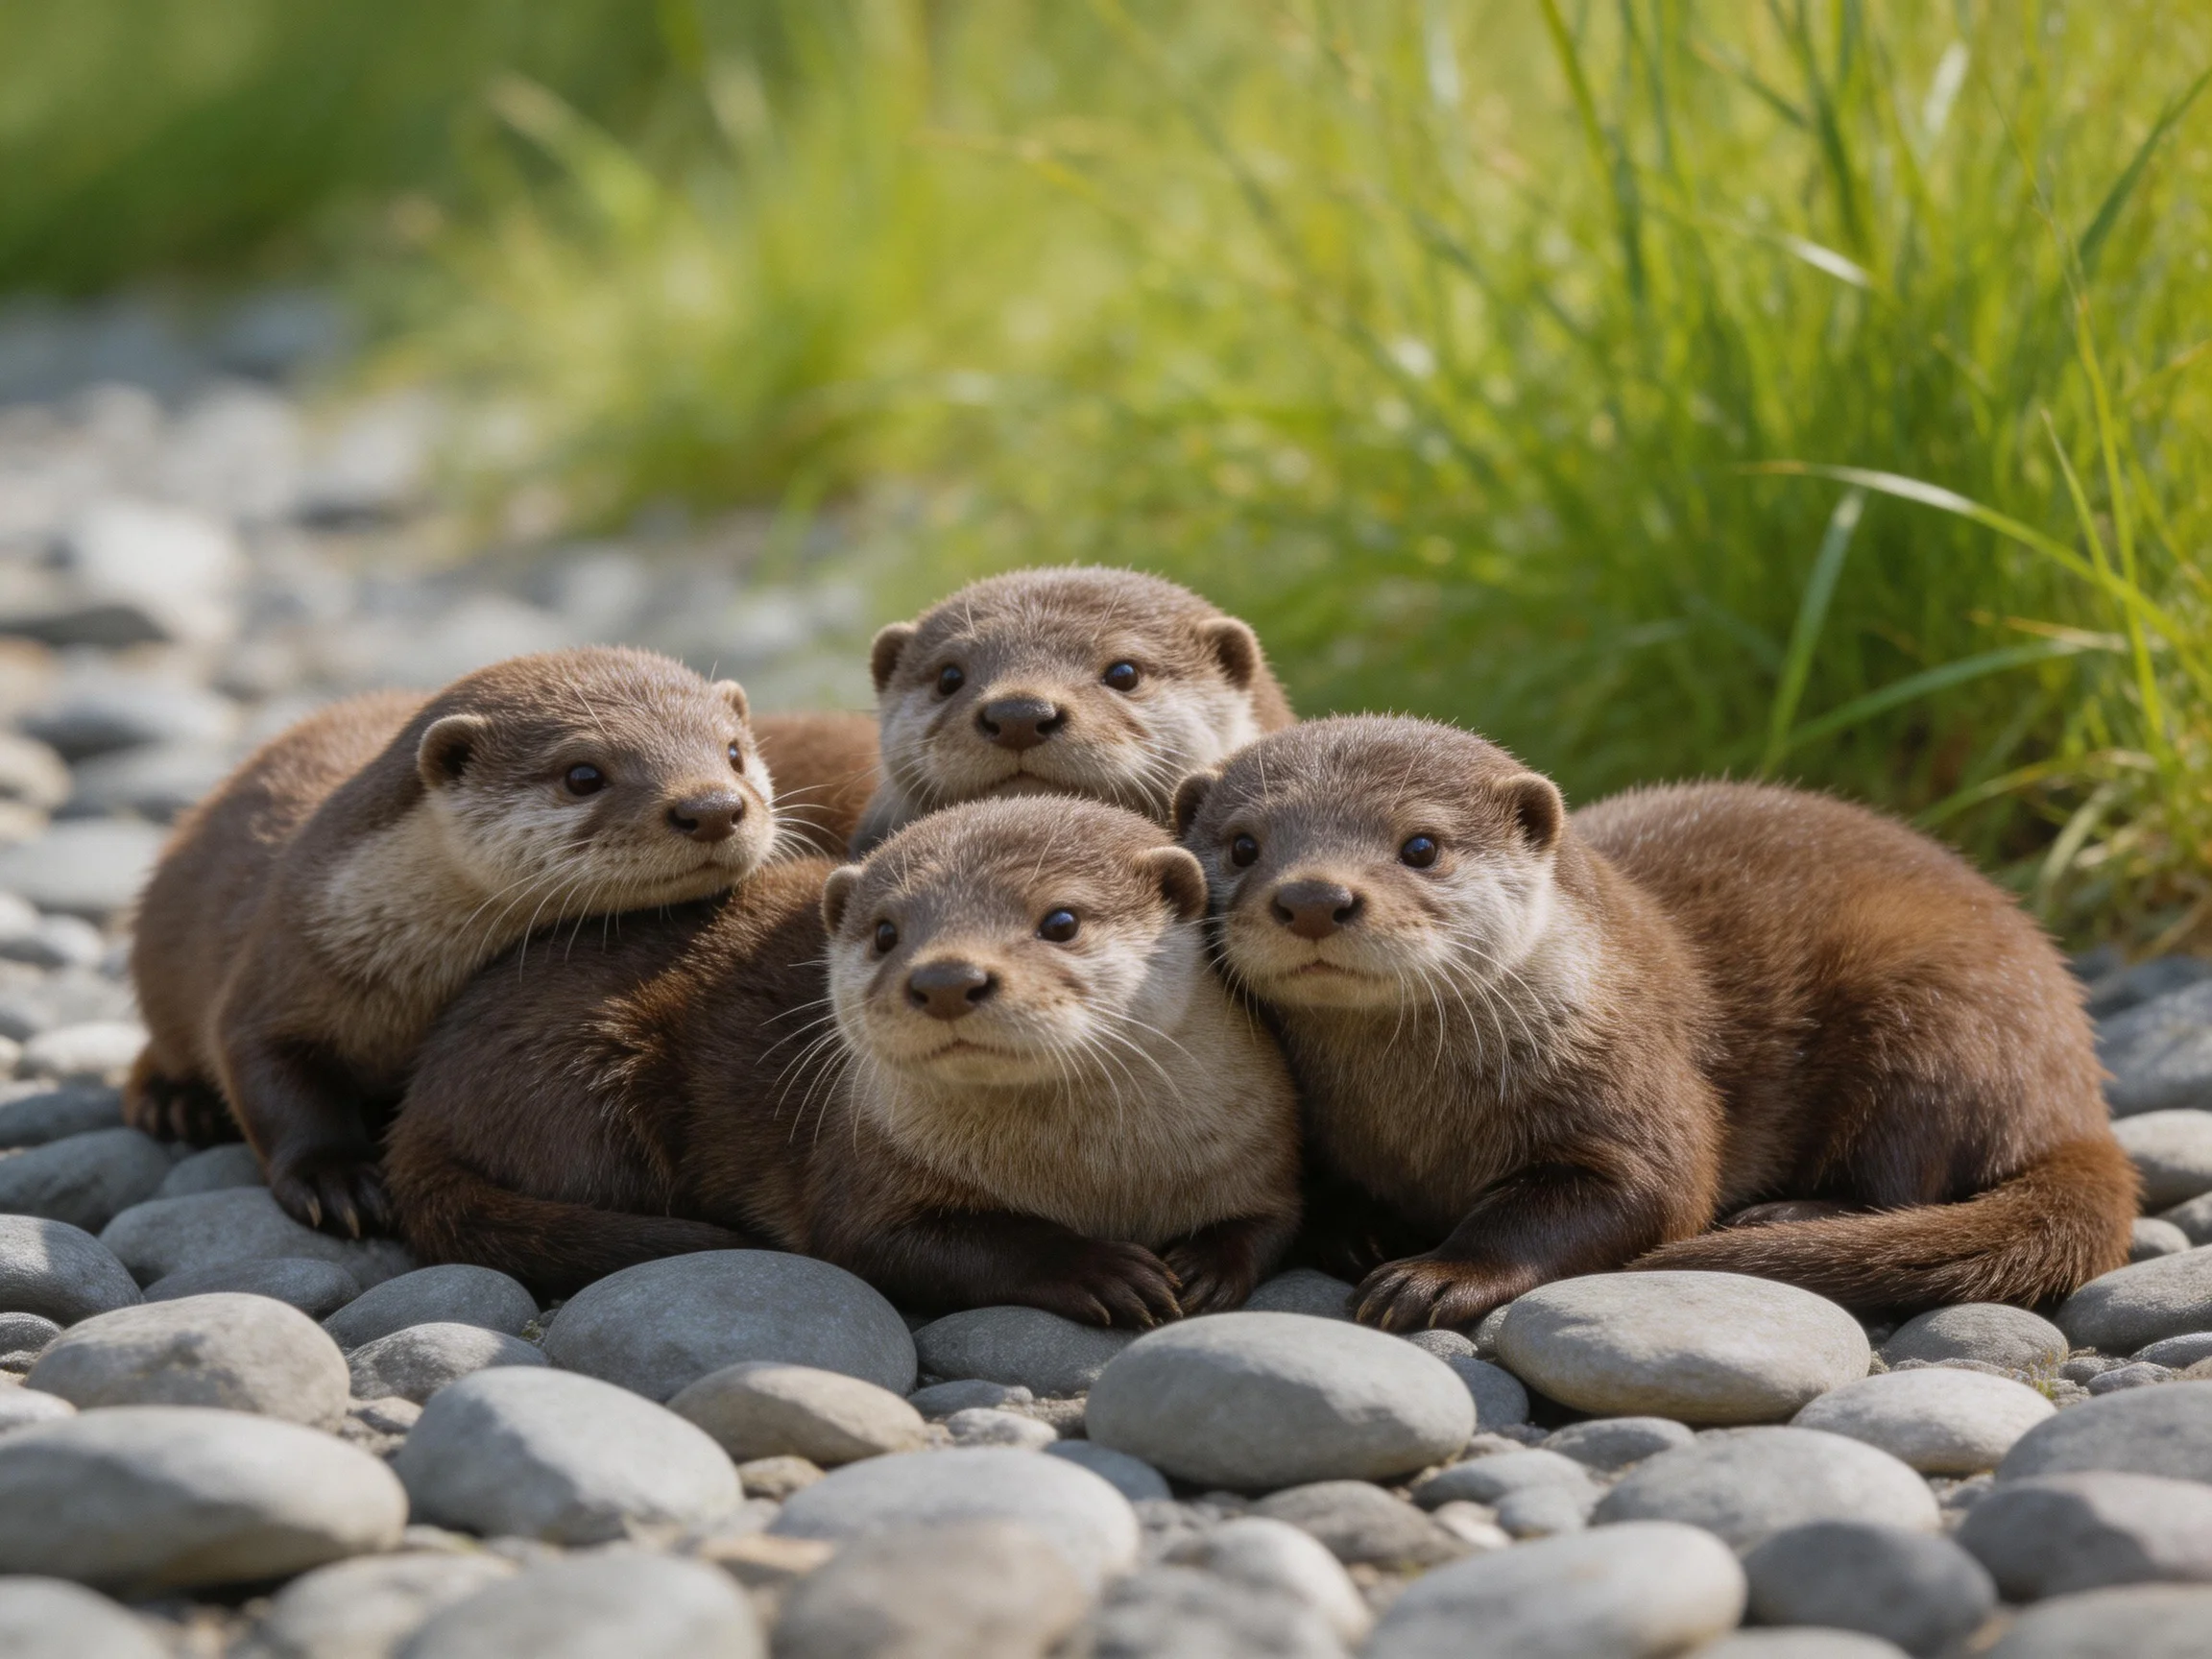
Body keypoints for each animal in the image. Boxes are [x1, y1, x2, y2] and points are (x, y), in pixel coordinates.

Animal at [127, 648, 779, 1236]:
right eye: (583, 775)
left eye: (734, 752)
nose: (712, 806)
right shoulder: (281, 959)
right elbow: (262, 1070)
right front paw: (333, 1178)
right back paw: (173, 1103)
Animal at [386, 797, 1302, 1317]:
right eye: (887, 931)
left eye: (1062, 921)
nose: (946, 977)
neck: (1098, 1177)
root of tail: (421, 1096)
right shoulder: (865, 1171)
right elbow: (909, 1247)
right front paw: (1100, 1270)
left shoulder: (1262, 1146)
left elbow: (1271, 1223)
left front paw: (1207, 1267)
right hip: (580, 1076)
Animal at [1177, 715, 2135, 1328]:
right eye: (1243, 845)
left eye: (1421, 845)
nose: (1312, 897)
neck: (1414, 1124)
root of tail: (2076, 1080)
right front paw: (1356, 1232)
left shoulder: (1630, 1082)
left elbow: (1648, 1190)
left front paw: (1435, 1275)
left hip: (1933, 1013)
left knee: (1905, 1168)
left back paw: (1784, 1215)